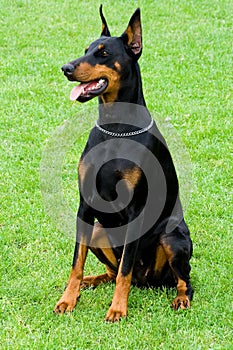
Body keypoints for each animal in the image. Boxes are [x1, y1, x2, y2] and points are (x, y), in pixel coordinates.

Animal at [54, 6, 193, 322]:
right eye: (86, 50)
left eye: (103, 53)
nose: (66, 68)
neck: (114, 128)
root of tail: (147, 280)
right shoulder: (85, 205)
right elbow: (76, 263)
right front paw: (68, 299)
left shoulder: (135, 210)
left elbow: (125, 269)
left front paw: (117, 308)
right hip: (98, 230)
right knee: (110, 270)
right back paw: (89, 282)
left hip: (172, 236)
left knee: (183, 280)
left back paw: (180, 298)